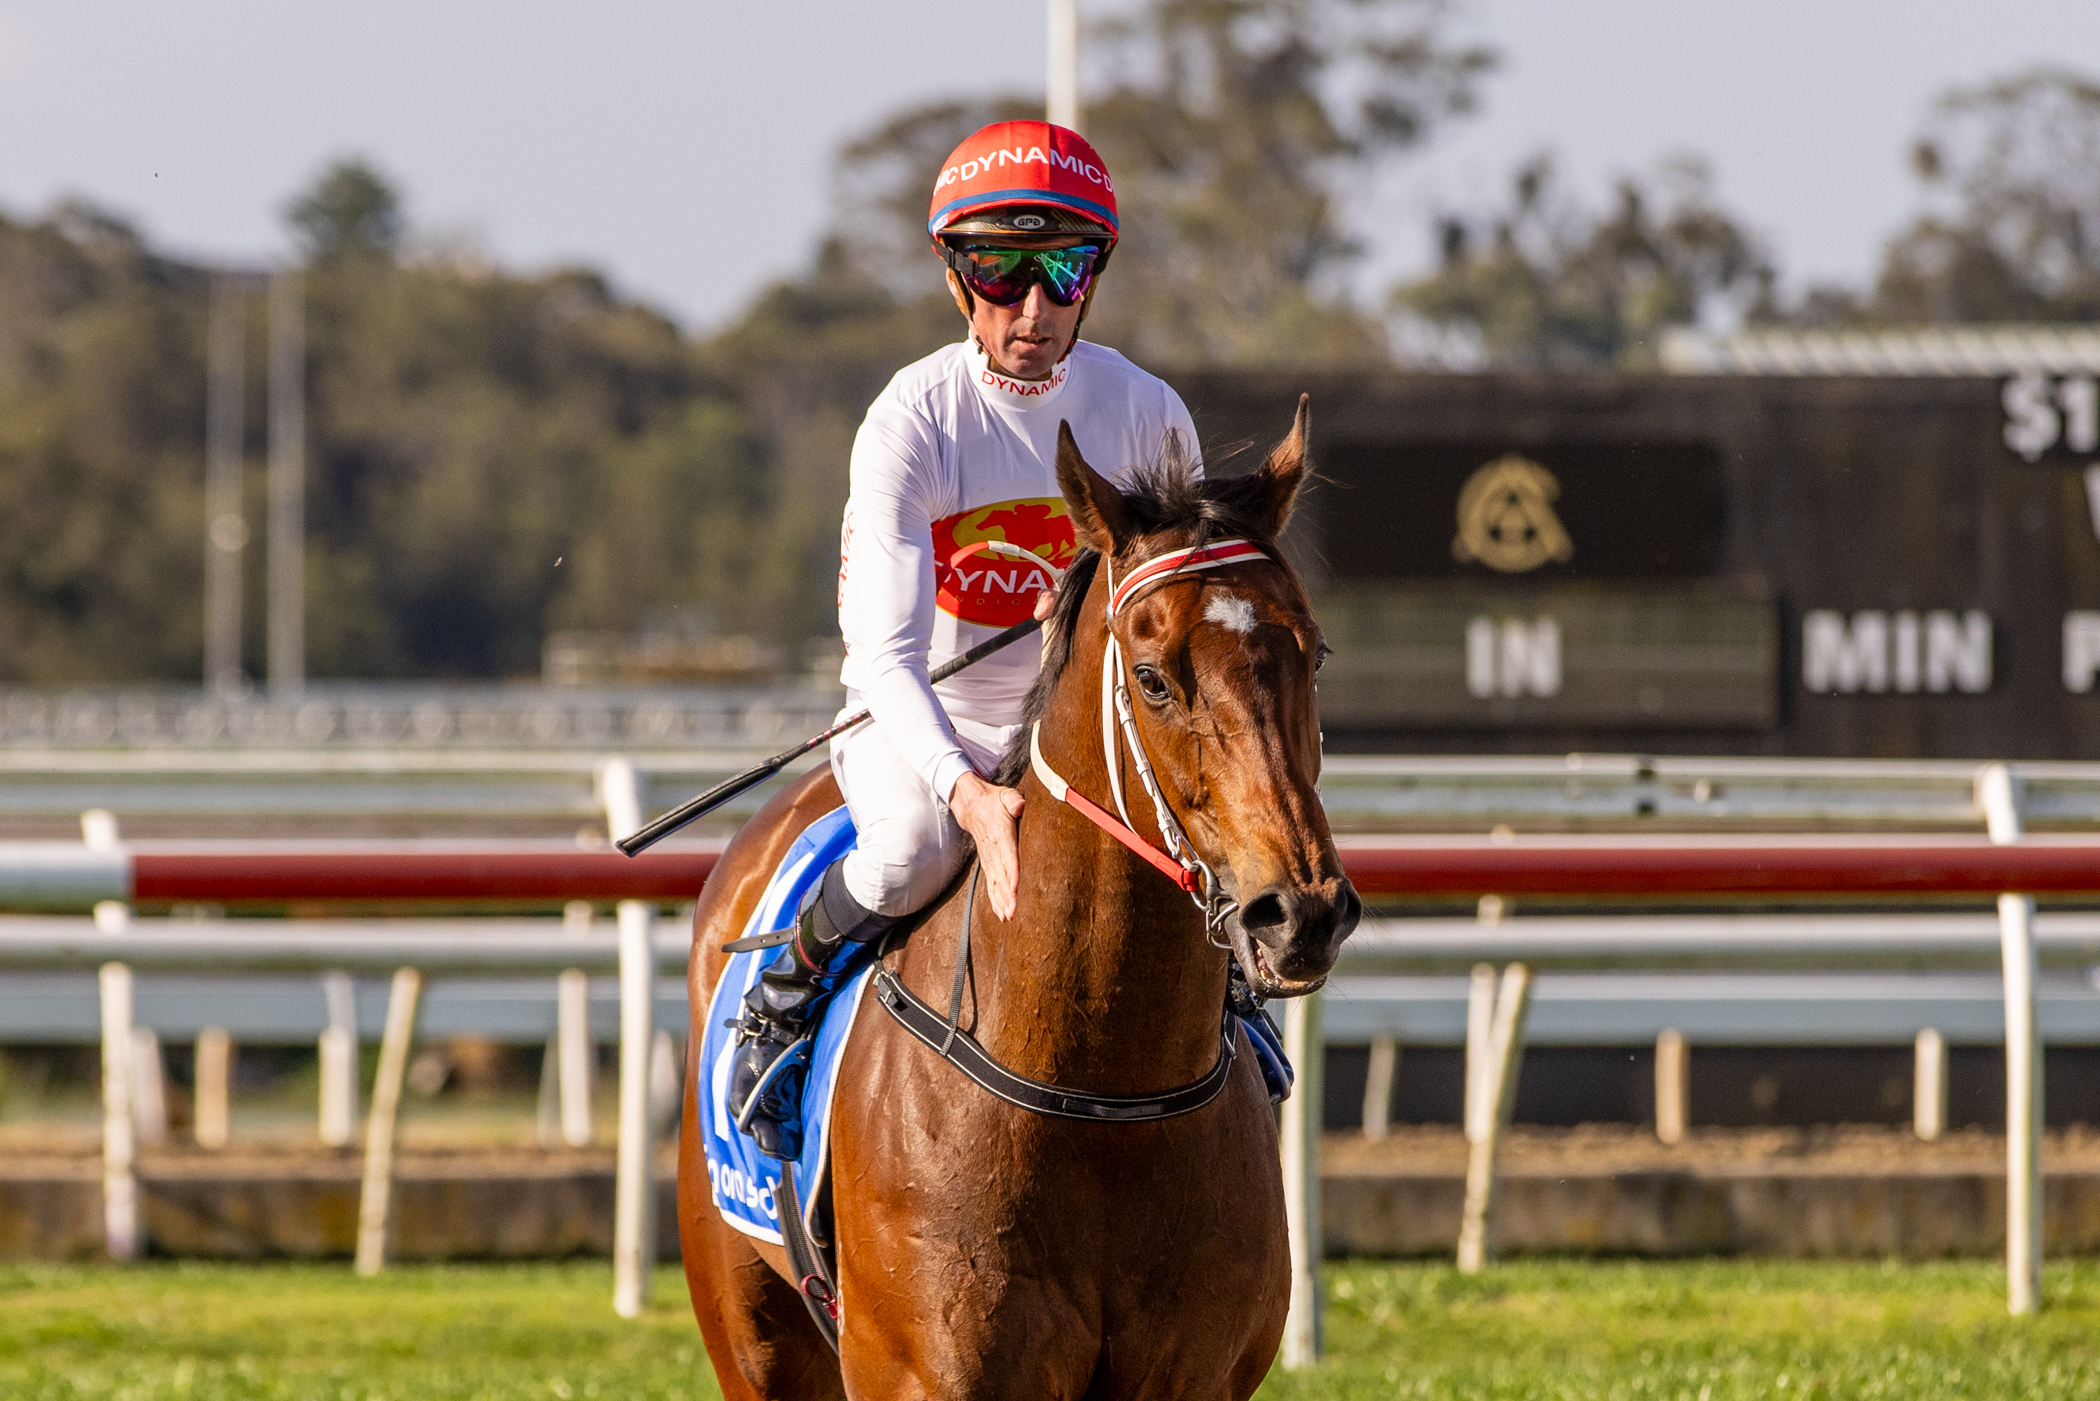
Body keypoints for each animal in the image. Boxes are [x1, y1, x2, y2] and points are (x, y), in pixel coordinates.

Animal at [677, 397, 1360, 1399]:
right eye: (1153, 677)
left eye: (1313, 655)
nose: (1300, 911)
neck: (1100, 1097)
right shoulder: (926, 1372)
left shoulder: (1196, 1373)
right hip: (750, 1335)